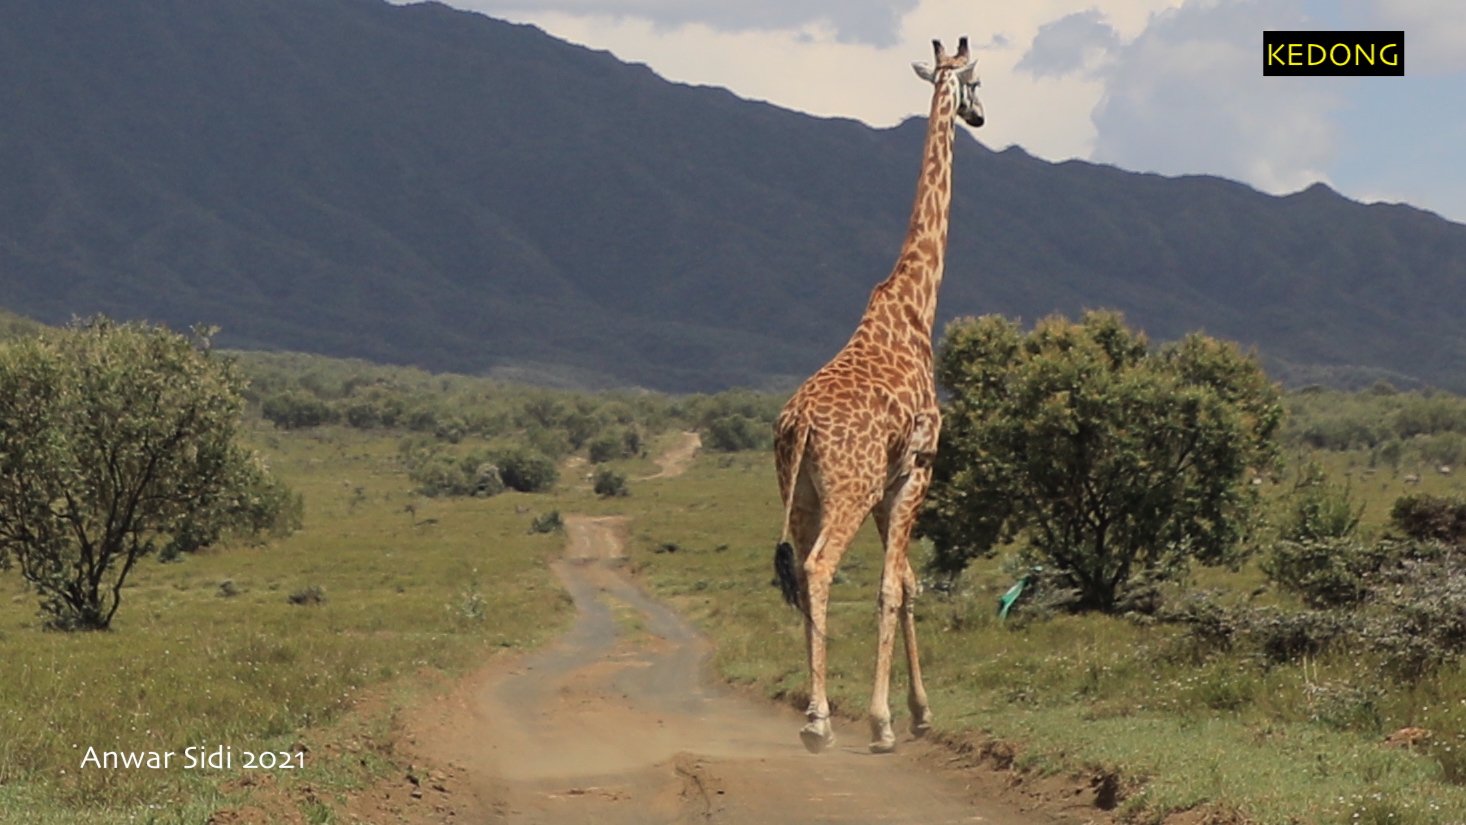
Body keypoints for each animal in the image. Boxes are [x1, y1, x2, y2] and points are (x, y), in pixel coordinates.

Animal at [768, 35, 985, 756]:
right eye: (978, 81)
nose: (979, 115)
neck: (916, 310)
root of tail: (800, 423)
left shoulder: (893, 480)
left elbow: (911, 582)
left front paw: (920, 712)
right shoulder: (916, 467)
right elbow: (894, 586)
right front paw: (887, 720)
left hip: (802, 493)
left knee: (800, 573)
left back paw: (816, 710)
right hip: (849, 487)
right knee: (819, 569)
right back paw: (820, 720)